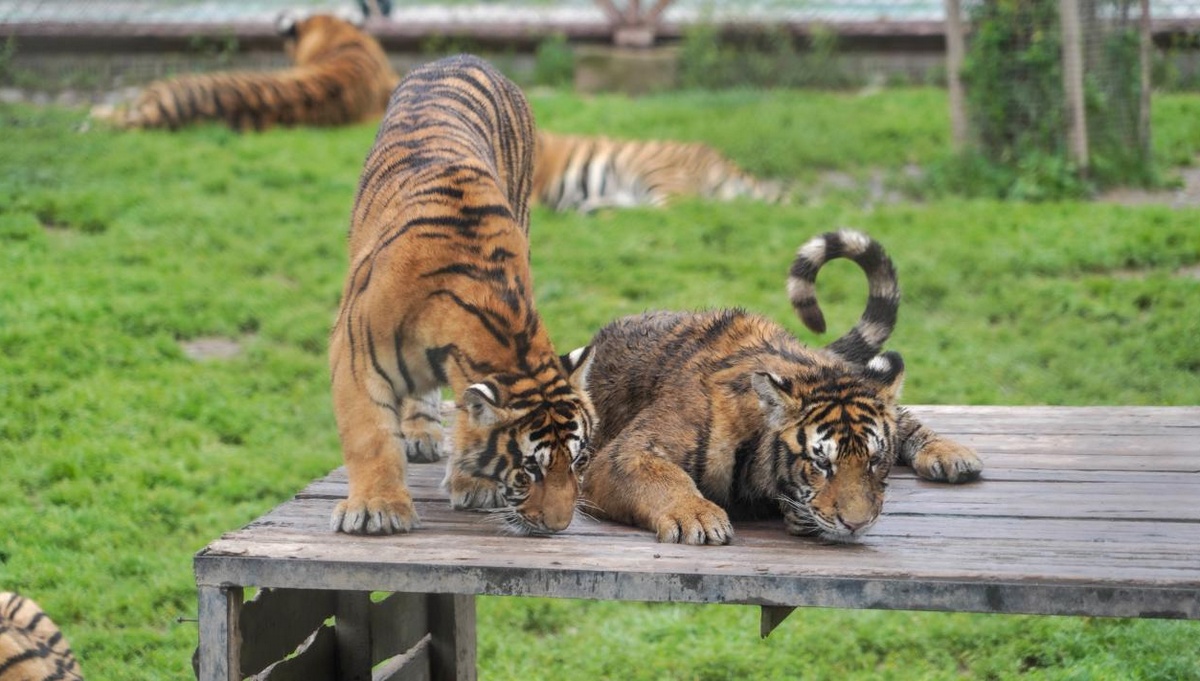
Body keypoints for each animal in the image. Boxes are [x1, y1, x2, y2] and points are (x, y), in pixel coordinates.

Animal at [328, 55, 595, 537]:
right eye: (530, 469)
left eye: (578, 460)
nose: (558, 525)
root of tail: (460, 57)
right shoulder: (354, 356)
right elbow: (370, 436)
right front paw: (377, 508)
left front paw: (475, 483)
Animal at [580, 231, 984, 544]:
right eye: (822, 463)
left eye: (874, 460)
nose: (856, 525)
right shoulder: (626, 453)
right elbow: (664, 478)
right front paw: (696, 516)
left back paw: (951, 455)